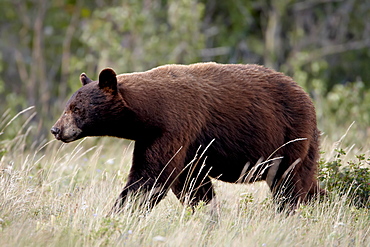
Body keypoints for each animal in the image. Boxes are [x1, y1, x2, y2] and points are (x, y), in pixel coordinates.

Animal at [51, 62, 324, 213]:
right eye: (68, 106)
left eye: (76, 109)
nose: (56, 129)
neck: (149, 113)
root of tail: (306, 95)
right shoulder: (175, 142)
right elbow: (191, 182)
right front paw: (206, 211)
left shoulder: (175, 126)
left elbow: (152, 176)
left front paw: (123, 210)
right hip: (304, 140)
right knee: (307, 181)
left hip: (290, 136)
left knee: (288, 183)